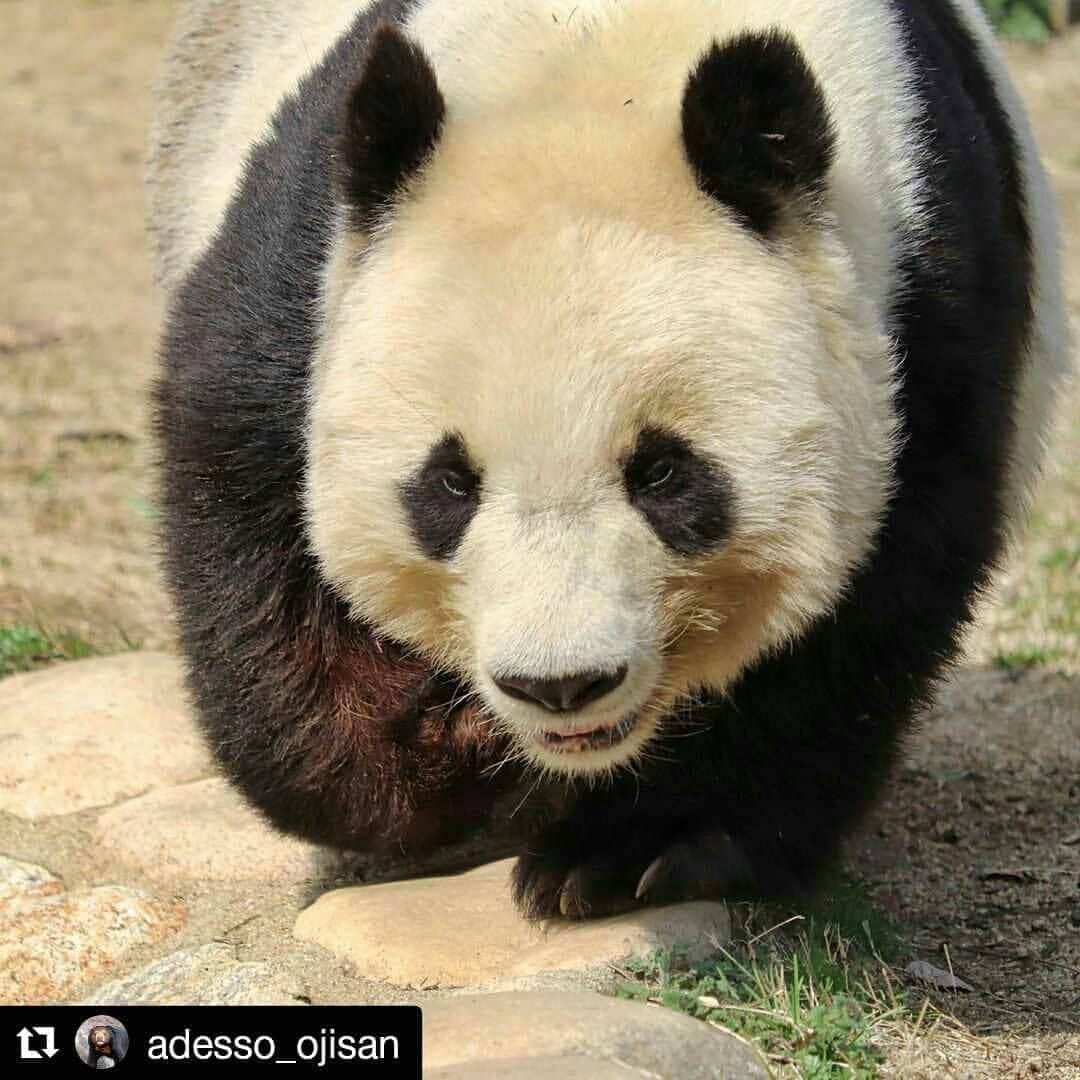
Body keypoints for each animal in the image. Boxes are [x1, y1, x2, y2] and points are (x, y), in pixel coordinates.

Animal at [147, 0, 1067, 920]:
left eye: (663, 474)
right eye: (449, 484)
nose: (559, 685)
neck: (597, 65)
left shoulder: (928, 315)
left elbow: (860, 623)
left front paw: (632, 848)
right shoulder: (307, 267)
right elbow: (245, 509)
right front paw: (441, 751)